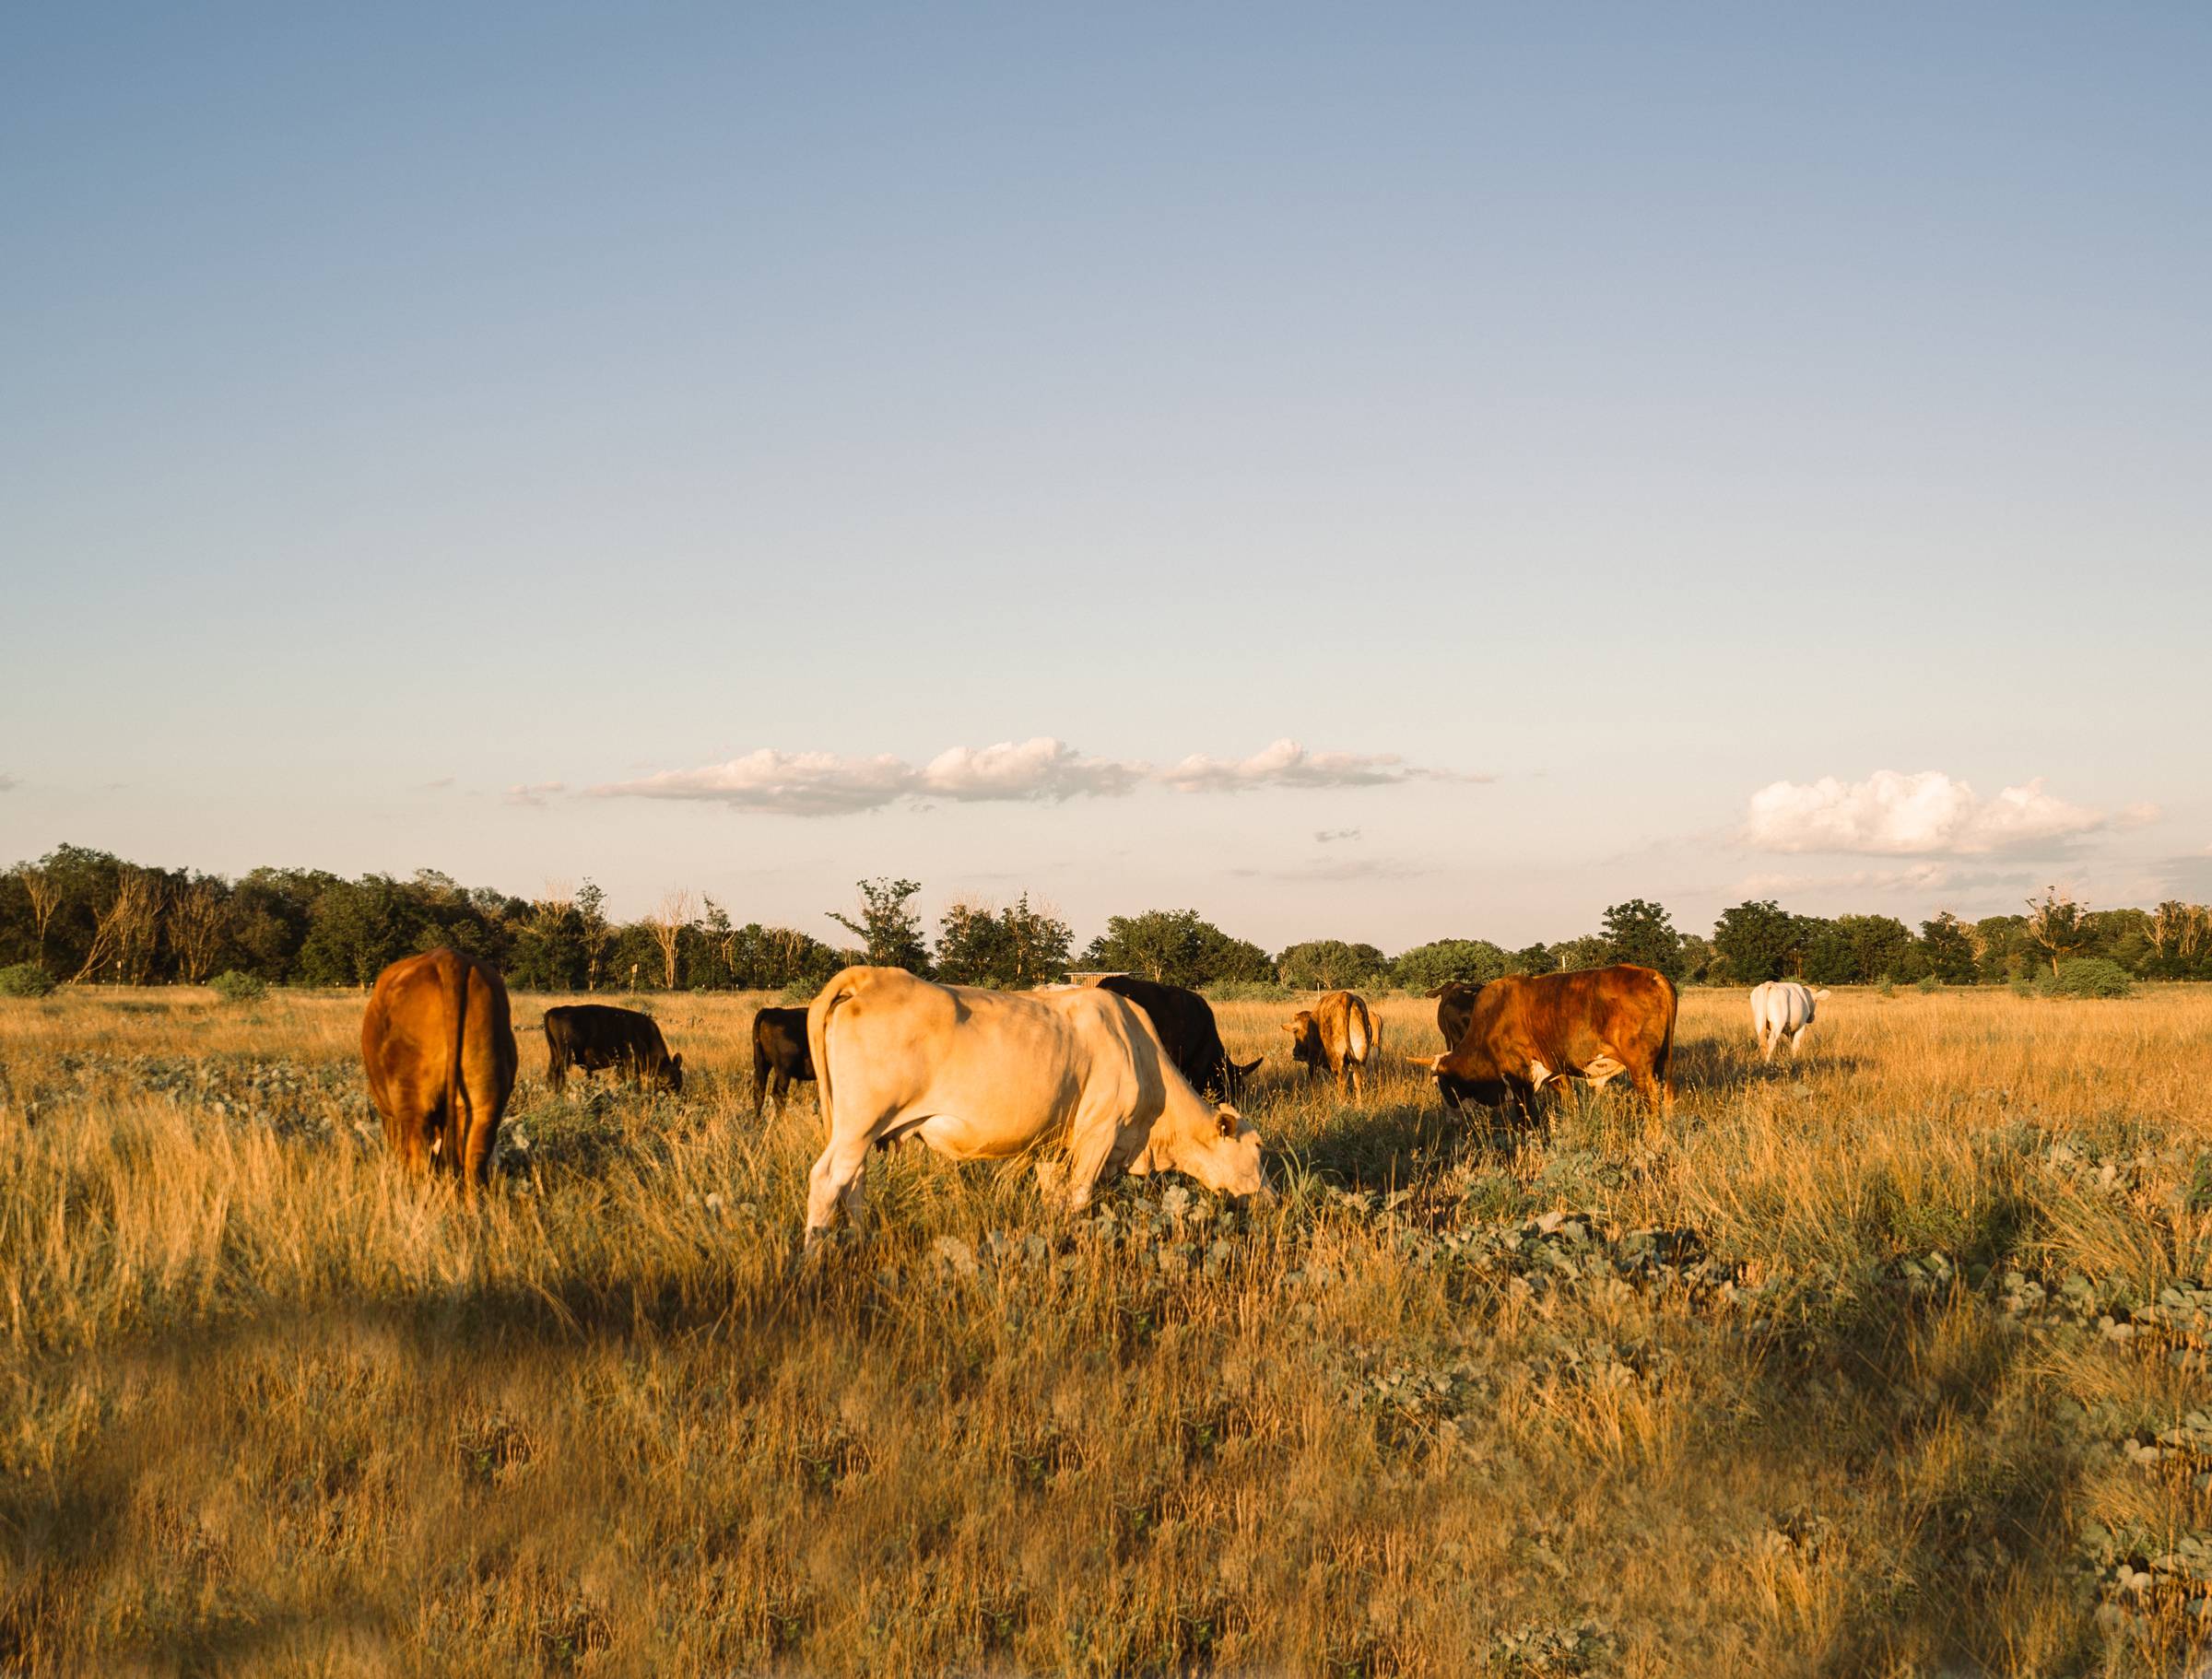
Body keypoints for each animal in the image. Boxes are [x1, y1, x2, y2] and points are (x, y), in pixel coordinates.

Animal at [542, 1003, 683, 1094]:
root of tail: (554, 1011)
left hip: (555, 1056)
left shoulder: (621, 1066)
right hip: (566, 1058)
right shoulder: (630, 1065)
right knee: (559, 1075)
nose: (676, 1092)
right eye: (670, 1077)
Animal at [1404, 964, 1676, 1125]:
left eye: (1440, 1084)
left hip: (1641, 1071)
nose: (1451, 1120)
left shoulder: (1519, 1079)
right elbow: (1570, 1103)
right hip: (1663, 1065)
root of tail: (1653, 976)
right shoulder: (1553, 1073)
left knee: (1651, 1105)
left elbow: (1527, 1121)